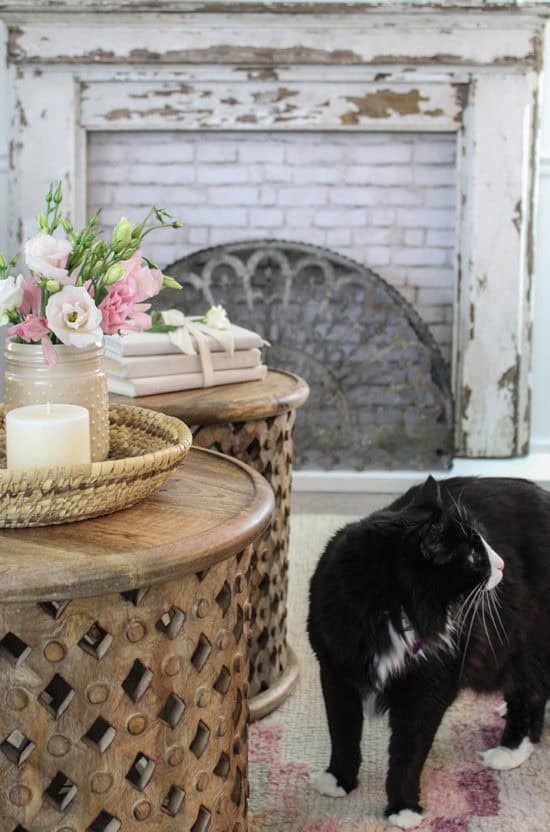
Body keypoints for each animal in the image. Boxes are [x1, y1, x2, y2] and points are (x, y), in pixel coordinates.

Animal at [310, 478, 550, 828]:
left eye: (483, 542)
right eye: (474, 555)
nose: (502, 564)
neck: (392, 614)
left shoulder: (429, 688)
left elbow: (407, 755)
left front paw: (403, 809)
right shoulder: (336, 673)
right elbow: (342, 732)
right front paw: (338, 780)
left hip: (524, 644)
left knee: (529, 697)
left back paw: (508, 751)